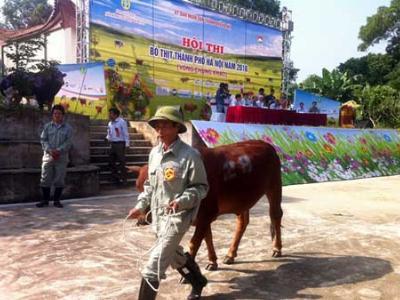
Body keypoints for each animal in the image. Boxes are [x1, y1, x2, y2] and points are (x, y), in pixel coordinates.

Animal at [127, 140, 282, 270]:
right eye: (138, 187)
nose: (142, 219)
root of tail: (266, 144)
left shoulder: (207, 213)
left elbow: (195, 242)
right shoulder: (203, 216)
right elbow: (208, 238)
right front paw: (212, 261)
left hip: (274, 187)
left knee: (275, 215)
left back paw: (277, 248)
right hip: (243, 200)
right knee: (242, 222)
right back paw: (230, 255)